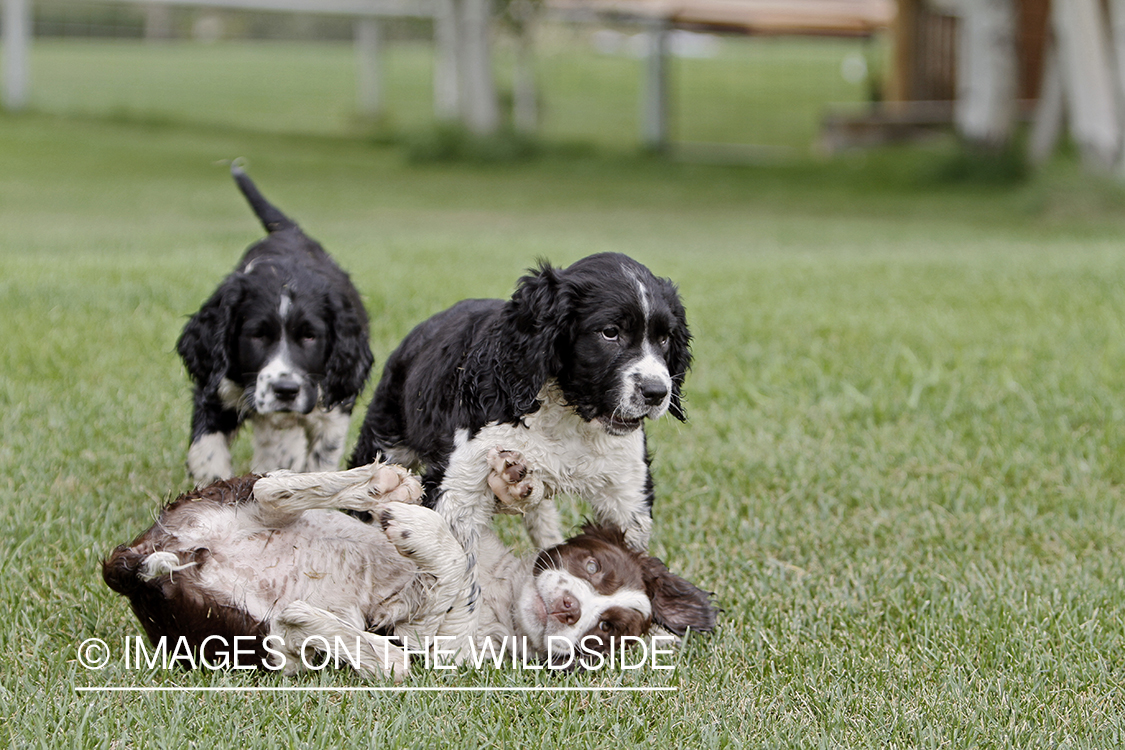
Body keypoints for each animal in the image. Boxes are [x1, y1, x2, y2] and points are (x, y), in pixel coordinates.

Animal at [101, 458, 715, 679]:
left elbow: (447, 576)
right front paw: (510, 482)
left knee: (305, 631)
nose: (568, 609)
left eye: (604, 634)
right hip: (228, 504)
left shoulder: (438, 641)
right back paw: (380, 483)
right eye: (592, 565)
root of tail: (136, 569)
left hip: (244, 635)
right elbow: (474, 526)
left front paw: (419, 535)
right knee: (274, 492)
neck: (506, 597)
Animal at [176, 165, 373, 488]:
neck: (285, 273)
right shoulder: (216, 384)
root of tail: (289, 230)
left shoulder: (334, 404)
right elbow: (206, 451)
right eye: (257, 335)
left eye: (310, 336)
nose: (286, 390)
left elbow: (314, 455)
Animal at [346, 251, 688, 557]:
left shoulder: (627, 489)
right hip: (386, 439)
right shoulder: (460, 485)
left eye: (665, 338)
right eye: (610, 333)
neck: (568, 414)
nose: (656, 392)